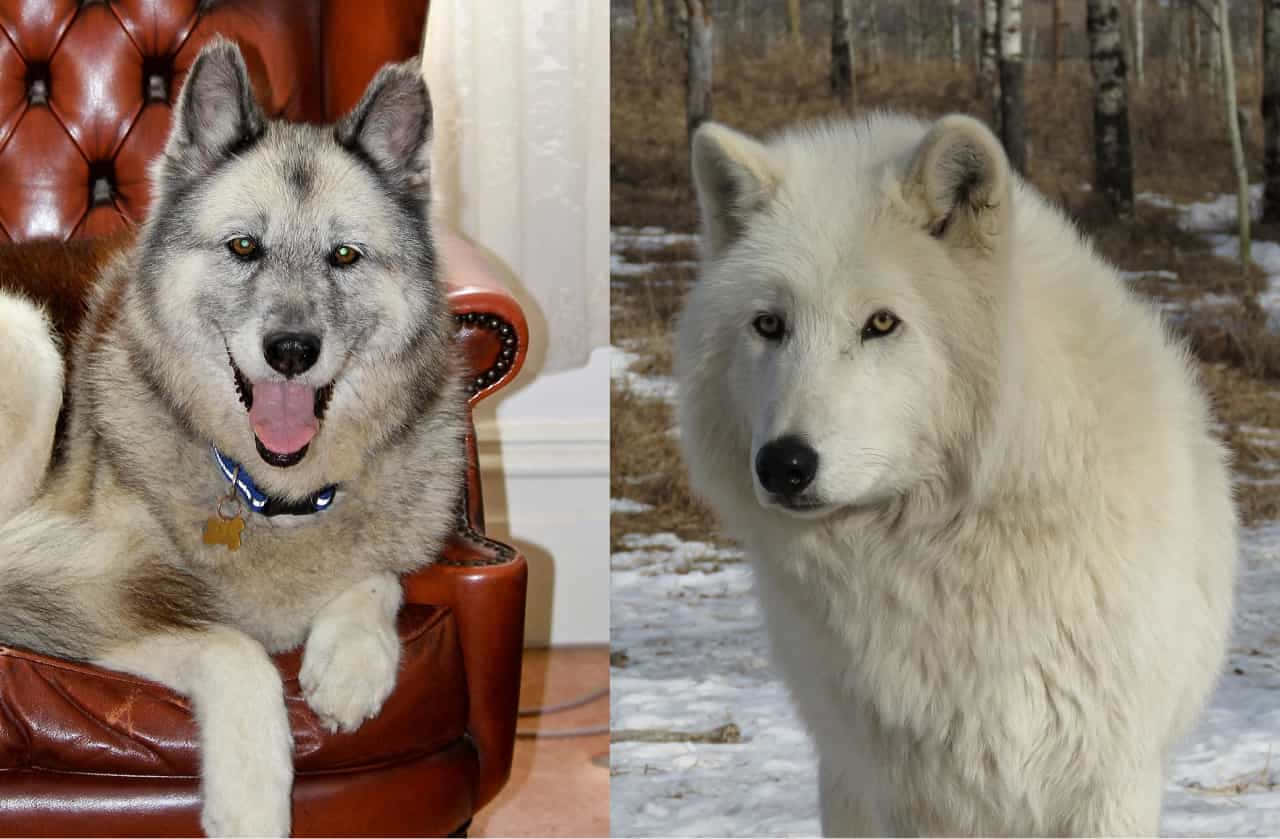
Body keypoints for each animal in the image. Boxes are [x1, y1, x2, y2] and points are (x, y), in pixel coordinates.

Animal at [0, 39, 464, 836]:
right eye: (244, 246)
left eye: (345, 256)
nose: (292, 351)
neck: (273, 494)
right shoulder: (106, 598)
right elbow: (232, 645)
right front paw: (251, 798)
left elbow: (378, 573)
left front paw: (353, 657)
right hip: (27, 341)